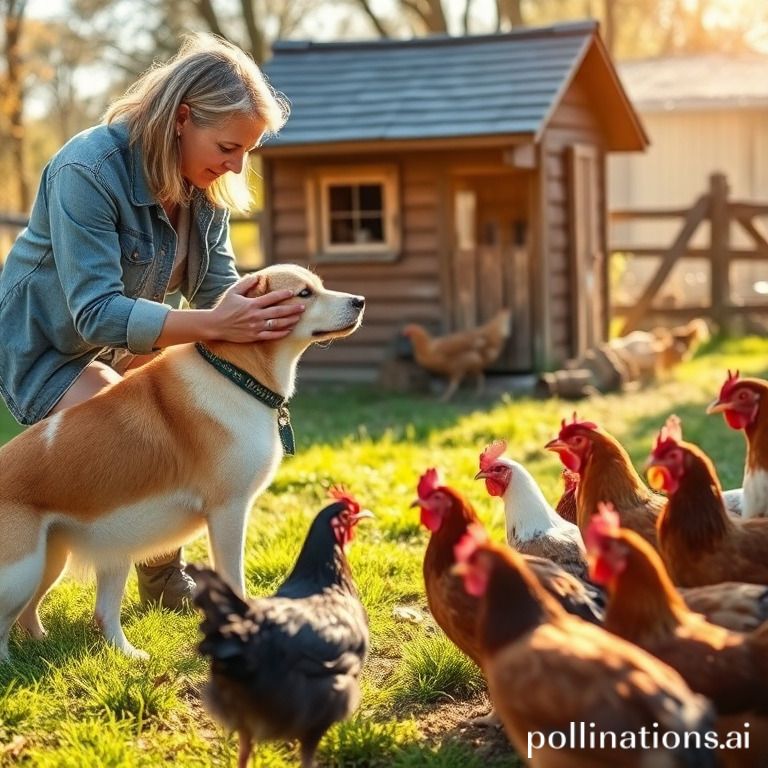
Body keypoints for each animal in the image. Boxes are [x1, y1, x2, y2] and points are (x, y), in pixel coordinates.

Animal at [0, 264, 364, 660]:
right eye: (304, 294)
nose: (360, 301)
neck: (234, 373)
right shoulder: (228, 512)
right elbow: (234, 579)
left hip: (68, 558)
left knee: (83, 615)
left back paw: (119, 654)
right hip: (22, 571)